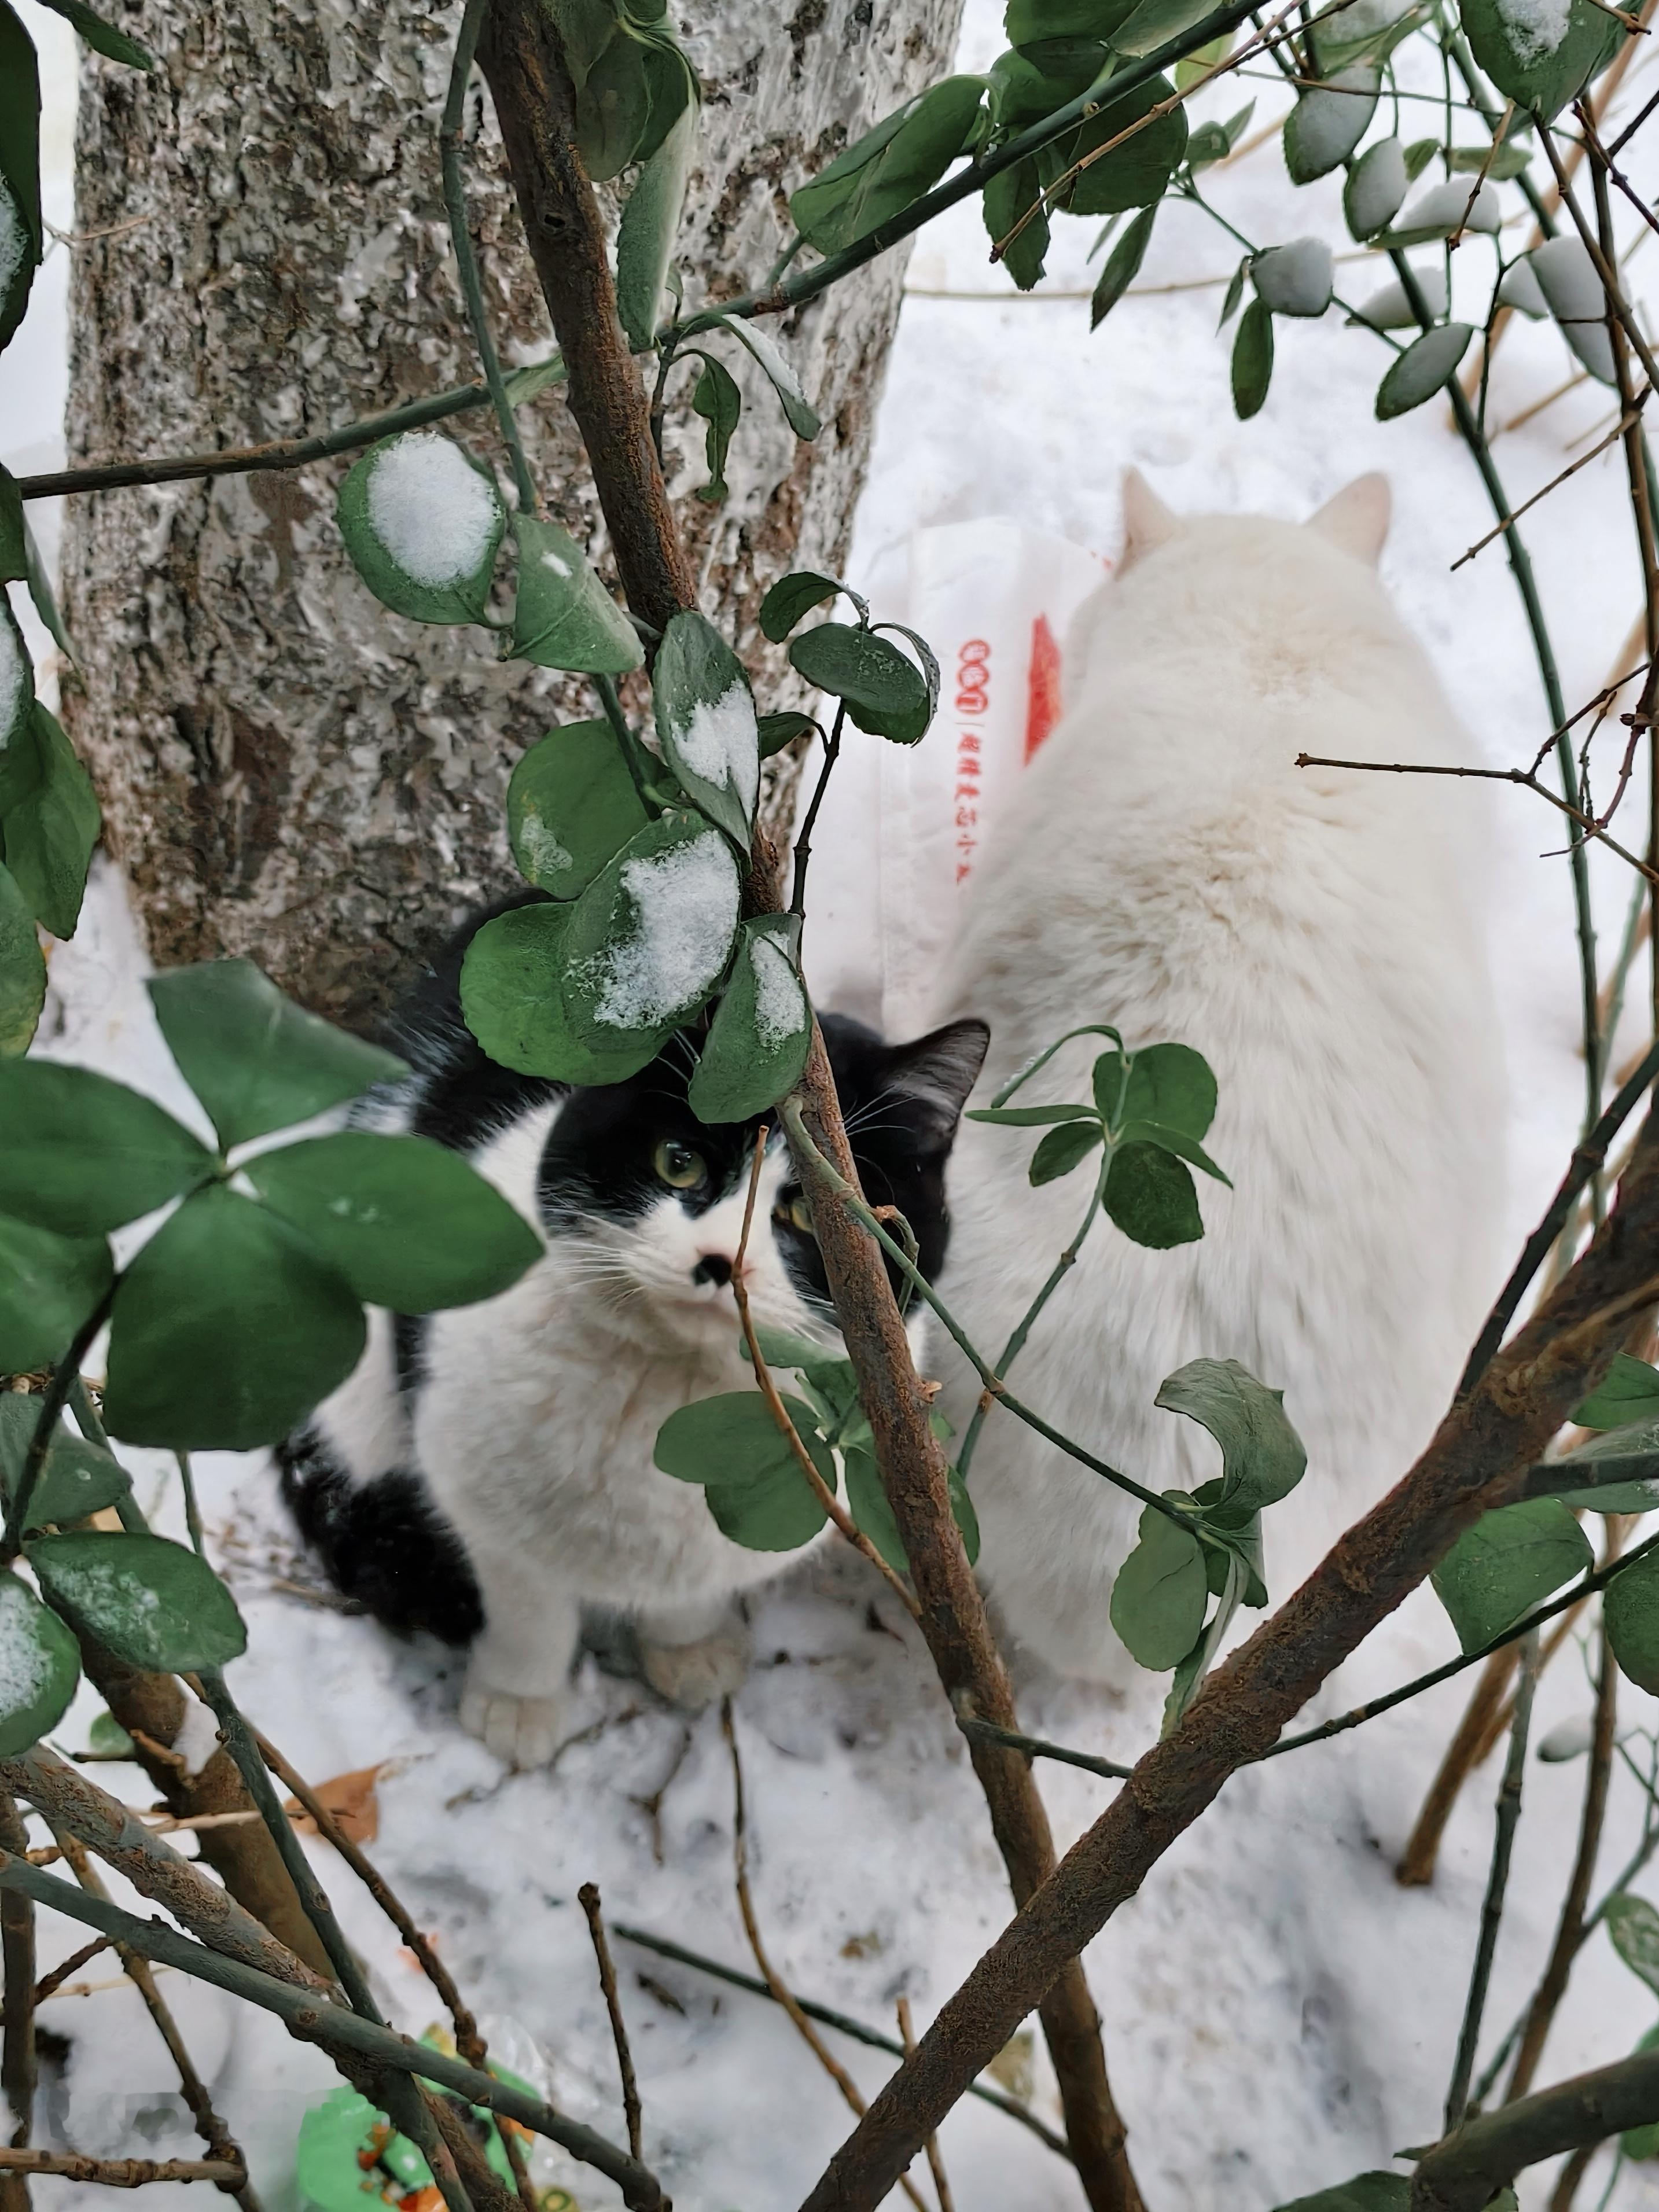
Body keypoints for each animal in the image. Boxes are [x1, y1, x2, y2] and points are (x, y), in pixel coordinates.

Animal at [281, 889, 986, 1769]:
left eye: (808, 1216)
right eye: (677, 1161)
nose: (720, 1261)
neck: (673, 1396)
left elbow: (688, 1587)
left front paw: (688, 1648)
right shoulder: (469, 1474)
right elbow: (525, 1599)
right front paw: (519, 1700)